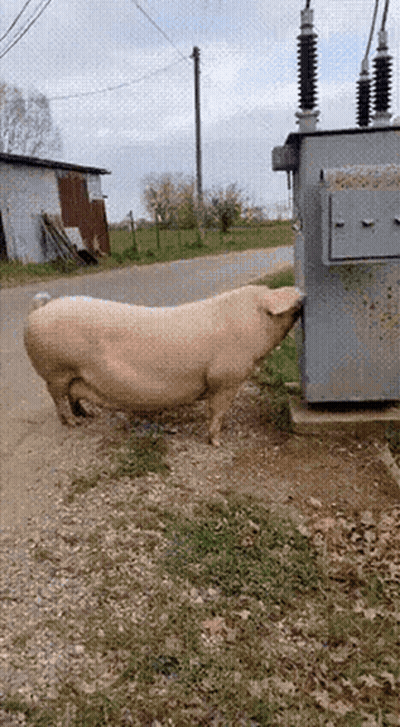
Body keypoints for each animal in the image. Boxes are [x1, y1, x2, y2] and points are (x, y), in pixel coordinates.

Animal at [24, 286, 304, 446]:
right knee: (58, 398)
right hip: (56, 371)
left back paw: (87, 415)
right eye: (296, 302)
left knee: (72, 396)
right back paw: (74, 424)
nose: (303, 294)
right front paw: (217, 442)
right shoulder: (225, 378)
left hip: (71, 374)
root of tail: (41, 308)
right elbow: (218, 410)